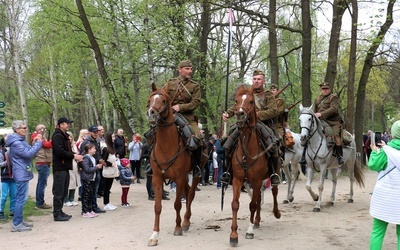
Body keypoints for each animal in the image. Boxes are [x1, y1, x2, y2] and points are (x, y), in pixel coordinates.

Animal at [145, 84, 206, 246]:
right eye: (150, 99)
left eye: (163, 100)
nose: (151, 113)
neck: (166, 146)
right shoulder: (157, 178)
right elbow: (157, 207)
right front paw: (154, 235)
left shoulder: (178, 178)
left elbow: (177, 203)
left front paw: (178, 227)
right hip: (184, 177)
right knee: (188, 192)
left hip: (195, 173)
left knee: (190, 194)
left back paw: (185, 222)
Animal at [228, 86, 282, 246]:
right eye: (236, 101)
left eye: (251, 101)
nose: (240, 115)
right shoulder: (238, 180)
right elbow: (235, 204)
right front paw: (233, 235)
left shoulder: (257, 180)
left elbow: (252, 204)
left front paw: (249, 231)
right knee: (258, 198)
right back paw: (257, 221)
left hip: (273, 174)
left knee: (274, 192)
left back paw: (276, 213)